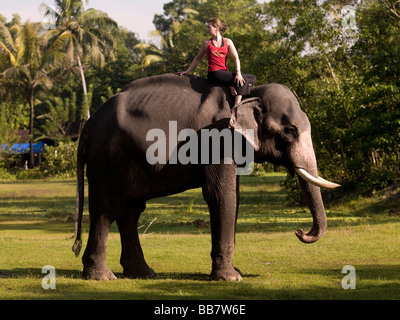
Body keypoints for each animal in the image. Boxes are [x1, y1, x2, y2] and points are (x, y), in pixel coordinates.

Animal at [71, 72, 338, 280]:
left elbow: (234, 197)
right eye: (290, 131)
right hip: (107, 159)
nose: (300, 232)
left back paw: (143, 273)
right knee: (107, 209)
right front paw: (231, 278)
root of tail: (88, 126)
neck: (247, 95)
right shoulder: (217, 139)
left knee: (131, 211)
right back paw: (102, 277)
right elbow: (222, 195)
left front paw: (235, 272)